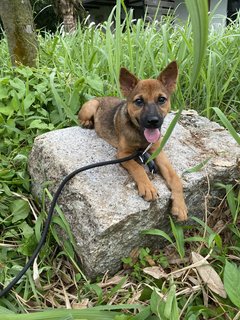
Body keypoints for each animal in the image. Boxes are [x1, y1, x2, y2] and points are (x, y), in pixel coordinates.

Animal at [78, 61, 188, 221]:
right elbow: (138, 168)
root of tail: (100, 97)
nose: (153, 121)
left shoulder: (157, 151)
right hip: (90, 106)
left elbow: (174, 178)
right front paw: (148, 187)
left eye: (161, 100)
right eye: (139, 101)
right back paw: (87, 123)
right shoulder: (122, 154)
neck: (140, 136)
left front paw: (180, 205)